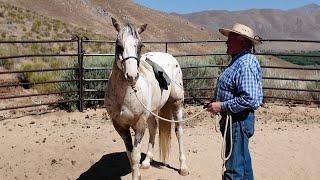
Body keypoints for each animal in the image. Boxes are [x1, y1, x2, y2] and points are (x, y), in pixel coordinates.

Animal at [105, 17, 189, 180]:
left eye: (140, 45)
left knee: (179, 131)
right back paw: (147, 162)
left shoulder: (139, 124)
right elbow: (130, 154)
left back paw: (183, 167)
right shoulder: (120, 125)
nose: (132, 76)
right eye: (119, 45)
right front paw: (138, 169)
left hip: (176, 103)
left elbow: (135, 155)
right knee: (154, 128)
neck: (124, 96)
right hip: (152, 111)